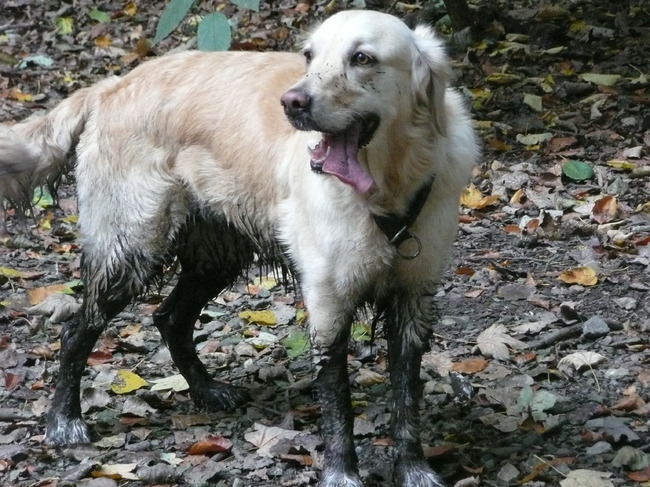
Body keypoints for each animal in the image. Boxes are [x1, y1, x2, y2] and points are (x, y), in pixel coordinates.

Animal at [0, 10, 478, 487]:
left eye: (362, 58)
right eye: (309, 56)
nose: (293, 102)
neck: (388, 188)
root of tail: (111, 86)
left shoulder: (413, 297)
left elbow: (406, 399)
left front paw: (415, 469)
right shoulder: (328, 302)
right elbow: (337, 401)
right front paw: (341, 474)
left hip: (217, 253)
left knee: (170, 317)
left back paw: (206, 390)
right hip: (131, 248)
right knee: (76, 329)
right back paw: (65, 421)